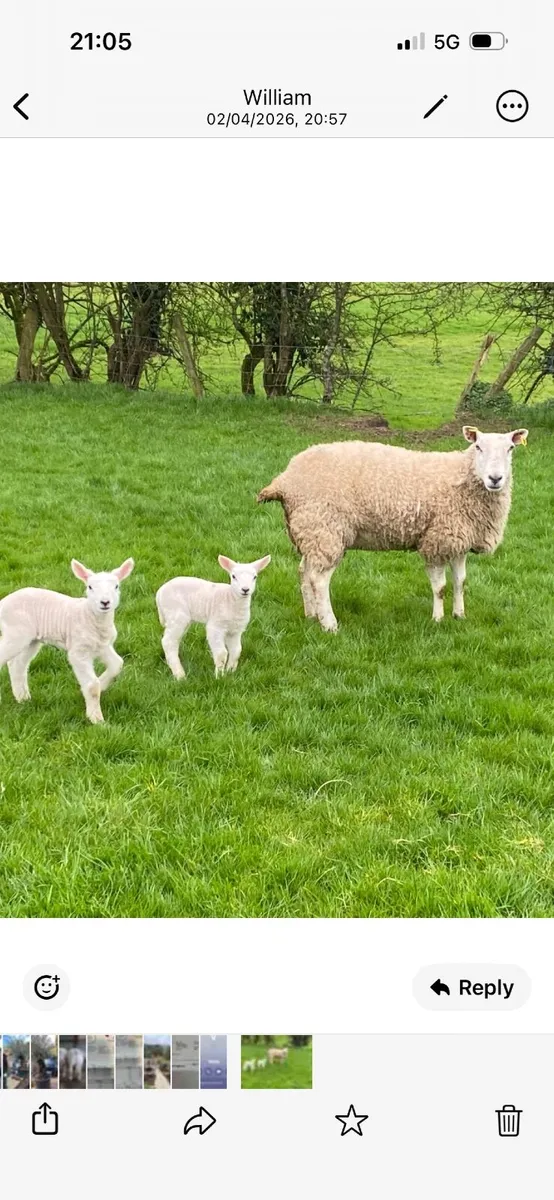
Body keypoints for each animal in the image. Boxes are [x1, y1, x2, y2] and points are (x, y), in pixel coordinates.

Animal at [0, 558, 134, 723]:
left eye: (116, 586)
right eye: (90, 587)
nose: (105, 602)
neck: (90, 615)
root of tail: (2, 603)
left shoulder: (103, 646)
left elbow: (117, 664)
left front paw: (102, 685)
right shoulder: (78, 651)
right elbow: (92, 686)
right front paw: (96, 719)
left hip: (31, 639)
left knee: (17, 665)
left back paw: (23, 698)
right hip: (16, 632)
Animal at [258, 426, 528, 630]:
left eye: (510, 448)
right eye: (478, 447)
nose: (495, 479)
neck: (462, 476)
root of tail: (285, 480)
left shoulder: (458, 539)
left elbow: (460, 582)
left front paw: (459, 615)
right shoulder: (436, 540)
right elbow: (440, 587)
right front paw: (438, 619)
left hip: (310, 533)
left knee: (304, 573)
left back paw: (311, 615)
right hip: (325, 529)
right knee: (319, 579)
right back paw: (330, 624)